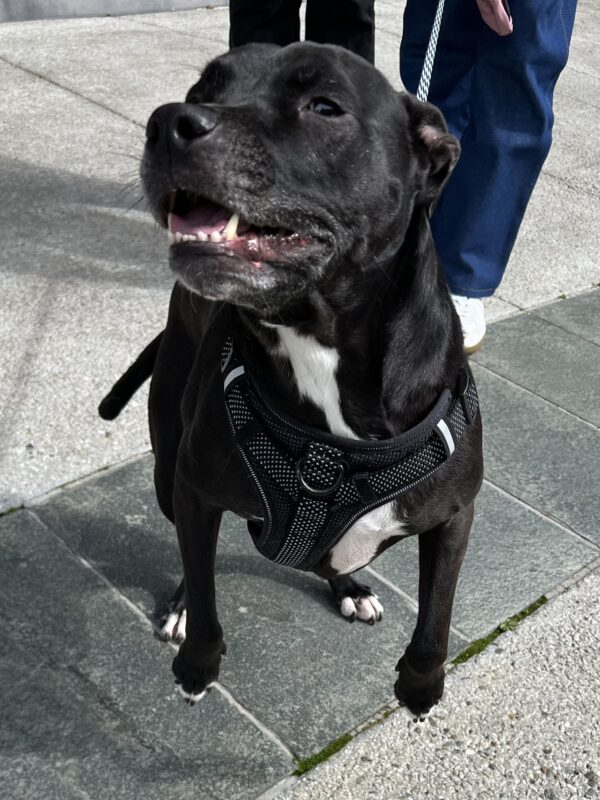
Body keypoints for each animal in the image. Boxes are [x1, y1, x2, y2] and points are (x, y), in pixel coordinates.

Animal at [99, 40, 482, 716]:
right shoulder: (196, 490)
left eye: (324, 106)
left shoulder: (454, 513)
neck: (314, 338)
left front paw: (421, 684)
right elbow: (206, 591)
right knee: (190, 557)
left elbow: (437, 611)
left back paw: (349, 584)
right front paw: (197, 662)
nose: (167, 121)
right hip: (169, 470)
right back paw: (180, 607)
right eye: (203, 90)